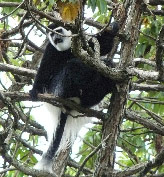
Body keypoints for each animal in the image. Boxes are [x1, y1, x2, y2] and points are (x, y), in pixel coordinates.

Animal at [29, 22, 118, 173]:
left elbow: (102, 45)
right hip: (58, 88)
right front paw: (34, 91)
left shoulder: (81, 44)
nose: (55, 38)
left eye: (58, 31)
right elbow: (44, 72)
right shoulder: (51, 50)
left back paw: (107, 80)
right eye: (51, 34)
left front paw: (113, 27)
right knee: (73, 66)